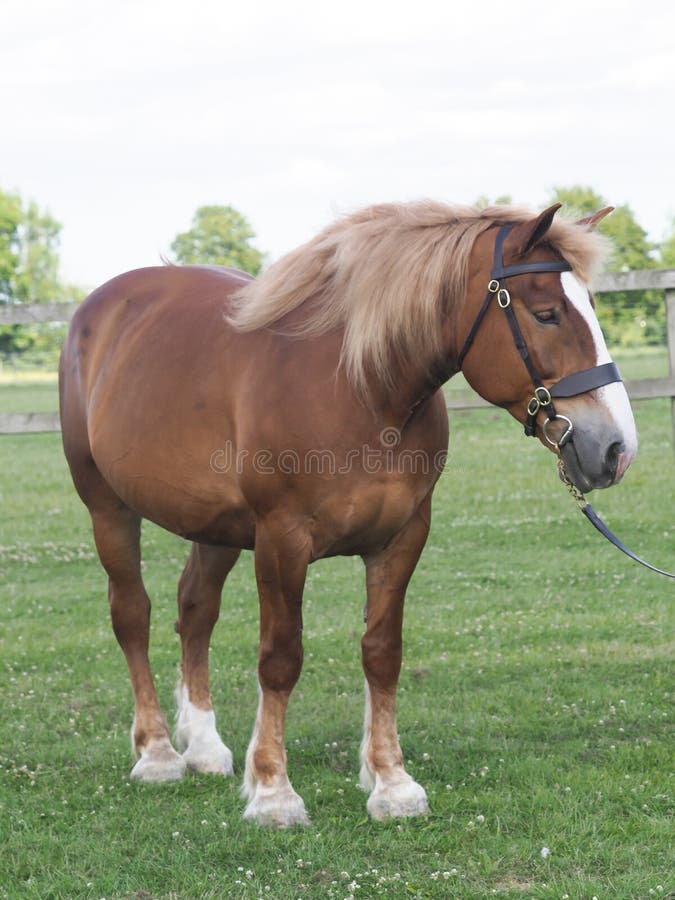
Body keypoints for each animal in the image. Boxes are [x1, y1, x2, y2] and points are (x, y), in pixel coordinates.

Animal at [59, 201, 638, 827]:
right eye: (547, 313)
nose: (616, 448)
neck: (361, 389)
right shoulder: (280, 541)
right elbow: (280, 658)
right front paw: (273, 791)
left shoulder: (402, 538)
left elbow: (382, 654)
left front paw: (390, 782)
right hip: (107, 507)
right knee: (132, 614)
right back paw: (159, 752)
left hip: (214, 529)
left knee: (195, 612)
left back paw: (205, 747)